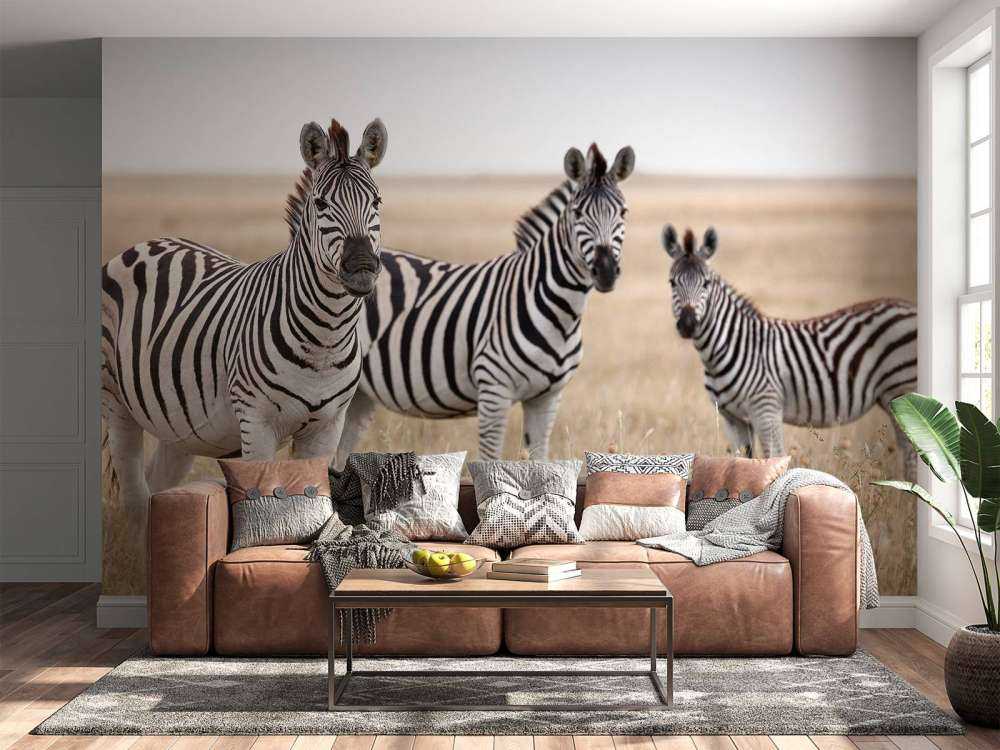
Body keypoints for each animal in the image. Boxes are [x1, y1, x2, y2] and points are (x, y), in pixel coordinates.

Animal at [101, 117, 388, 540]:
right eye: (320, 204)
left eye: (377, 202)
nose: (363, 269)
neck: (325, 338)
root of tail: (146, 242)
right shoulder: (256, 421)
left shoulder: (328, 426)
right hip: (115, 400)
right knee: (135, 496)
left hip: (179, 426)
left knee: (159, 488)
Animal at [335, 143, 635, 465]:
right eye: (578, 213)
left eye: (623, 212)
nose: (605, 271)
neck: (561, 313)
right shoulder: (494, 390)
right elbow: (491, 460)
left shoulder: (547, 398)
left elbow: (539, 458)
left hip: (361, 394)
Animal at [663, 224, 917, 476]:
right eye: (672, 283)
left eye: (706, 283)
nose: (688, 324)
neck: (724, 349)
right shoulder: (732, 419)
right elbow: (741, 461)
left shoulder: (766, 409)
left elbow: (773, 457)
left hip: (902, 388)